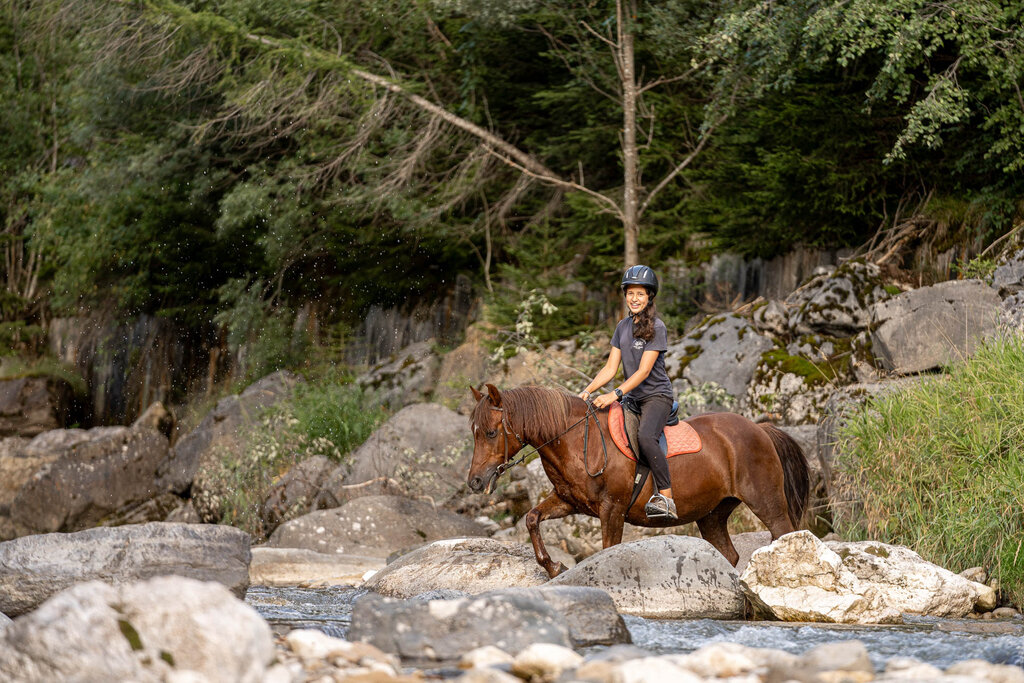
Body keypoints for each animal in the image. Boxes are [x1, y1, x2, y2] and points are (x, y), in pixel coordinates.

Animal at [467, 383, 810, 578]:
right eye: (475, 432)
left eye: (491, 432)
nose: (475, 482)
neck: (578, 441)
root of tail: (759, 428)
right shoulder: (569, 501)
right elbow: (532, 518)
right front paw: (554, 567)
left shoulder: (612, 510)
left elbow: (608, 549)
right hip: (712, 514)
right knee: (729, 555)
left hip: (768, 505)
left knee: (785, 534)